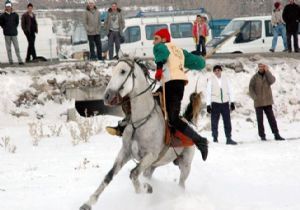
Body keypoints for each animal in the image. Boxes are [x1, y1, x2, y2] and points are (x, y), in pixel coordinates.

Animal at [79, 55, 196, 210]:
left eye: (123, 71)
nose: (107, 96)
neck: (140, 122)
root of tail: (189, 122)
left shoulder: (150, 156)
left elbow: (134, 174)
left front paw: (145, 189)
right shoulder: (125, 152)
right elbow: (109, 176)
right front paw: (88, 203)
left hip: (185, 165)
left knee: (181, 184)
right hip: (153, 166)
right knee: (148, 174)